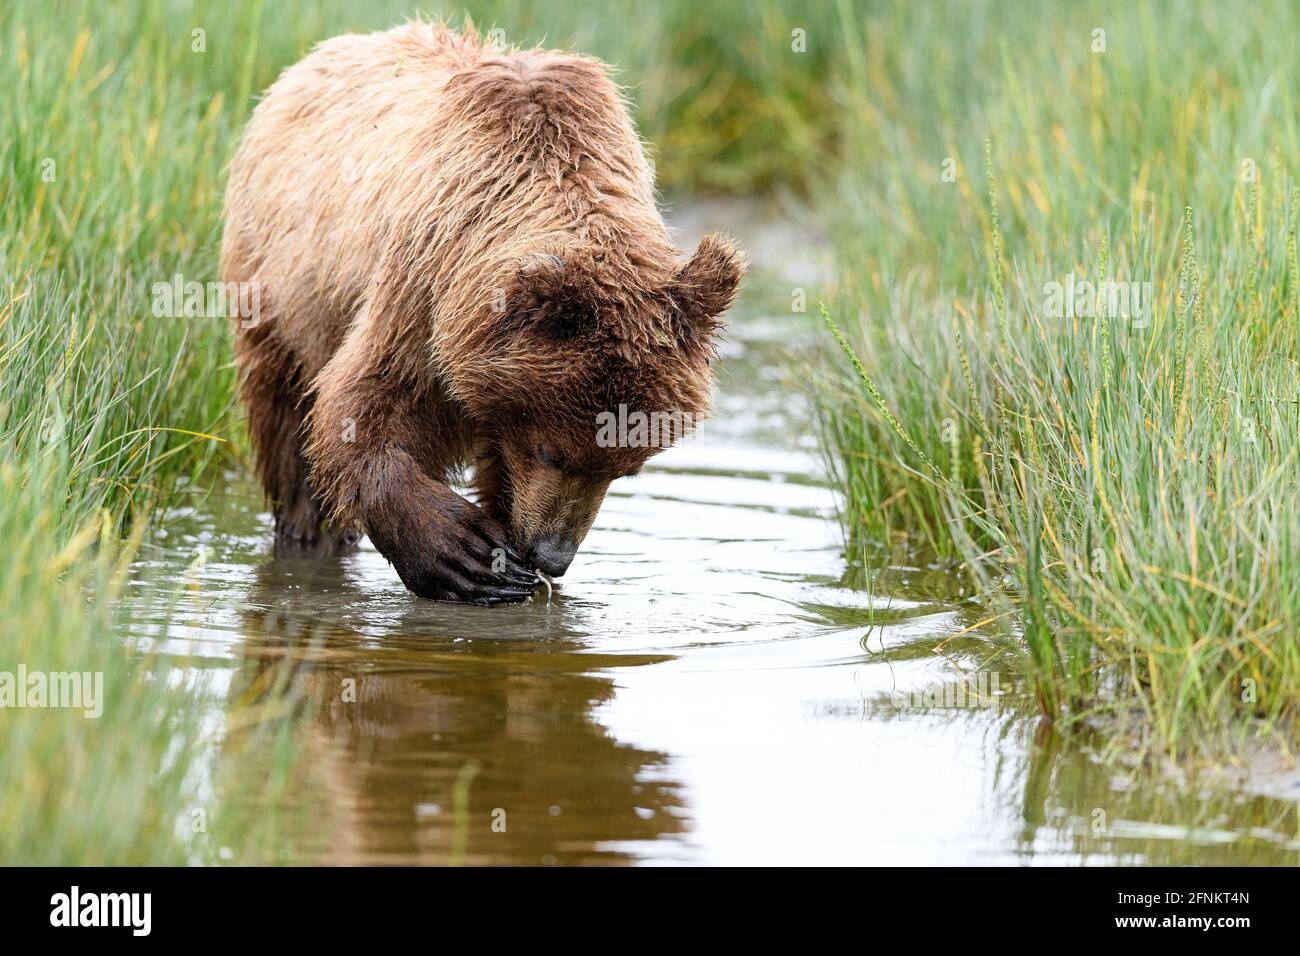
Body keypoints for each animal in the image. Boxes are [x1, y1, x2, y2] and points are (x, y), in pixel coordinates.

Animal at [220, 24, 743, 606]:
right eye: (553, 451)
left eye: (625, 468)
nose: (552, 556)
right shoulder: (423, 283)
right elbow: (362, 403)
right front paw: (462, 553)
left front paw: (510, 564)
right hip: (277, 280)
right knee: (284, 413)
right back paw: (308, 533)